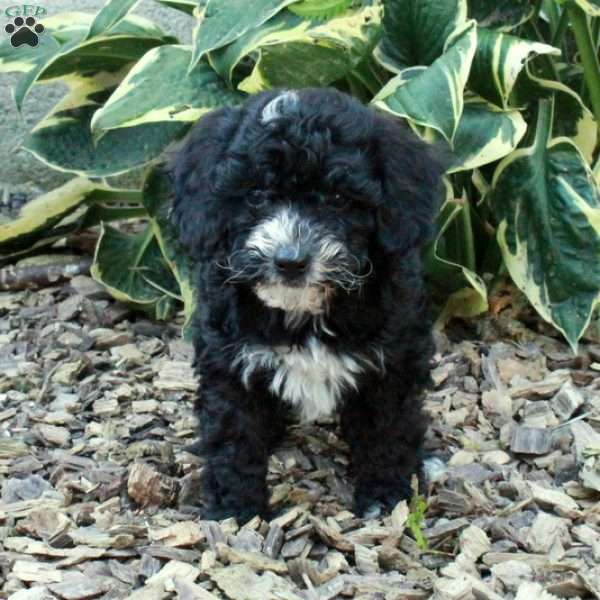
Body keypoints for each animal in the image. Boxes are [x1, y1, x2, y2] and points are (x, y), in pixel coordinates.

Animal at [169, 88, 446, 520]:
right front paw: (235, 509)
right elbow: (233, 435)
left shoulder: (393, 358)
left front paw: (385, 494)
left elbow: (388, 427)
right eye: (256, 196)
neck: (302, 311)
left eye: (338, 198)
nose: (290, 261)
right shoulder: (229, 360)